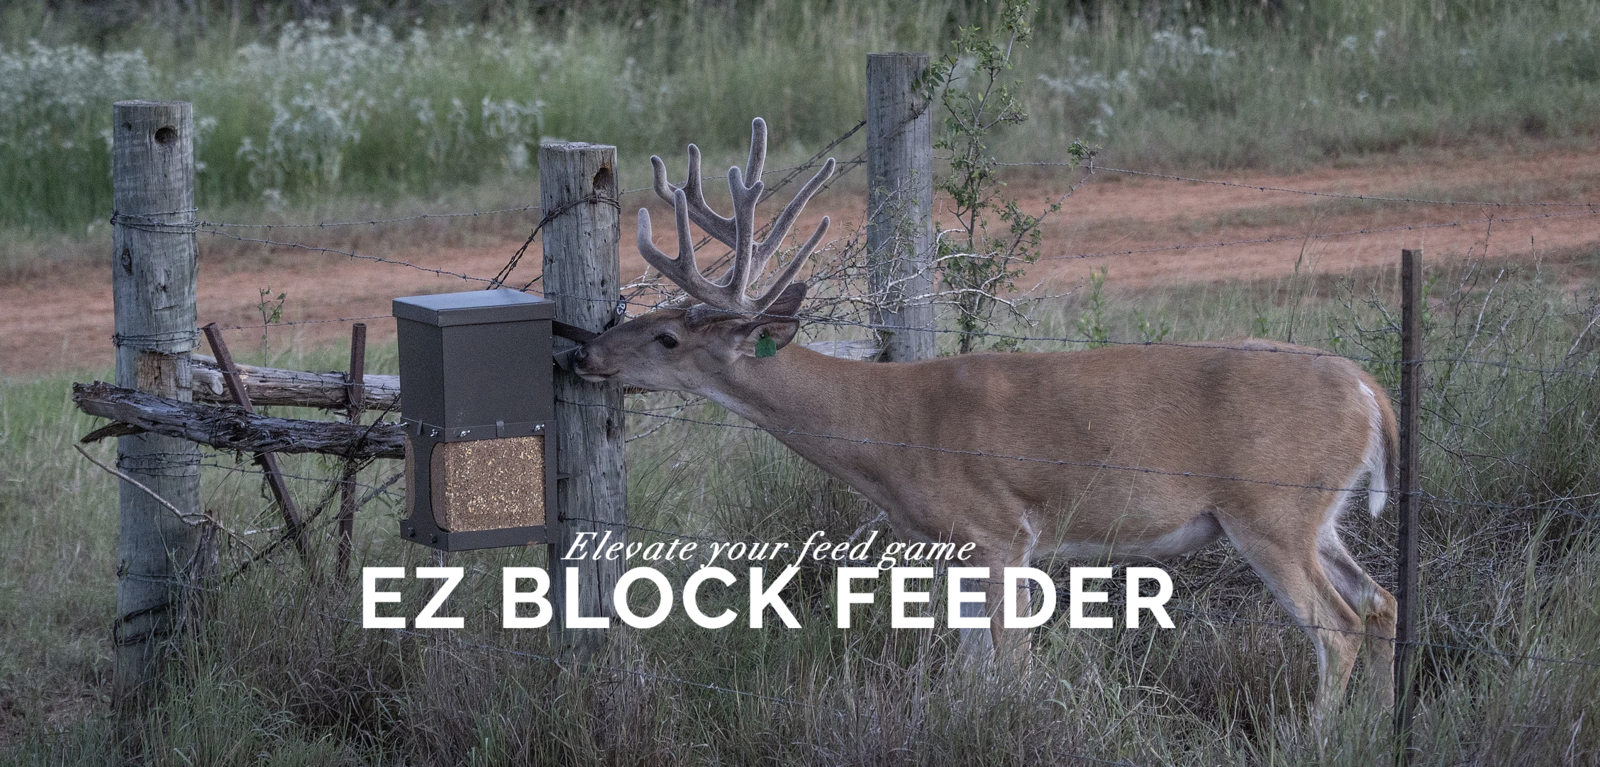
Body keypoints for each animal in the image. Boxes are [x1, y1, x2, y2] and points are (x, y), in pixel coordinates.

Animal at [572, 118, 1400, 721]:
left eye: (667, 337)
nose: (585, 352)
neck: (890, 426)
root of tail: (1369, 389)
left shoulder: (1000, 530)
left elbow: (1008, 669)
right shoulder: (961, 548)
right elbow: (972, 669)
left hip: (1270, 507)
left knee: (1339, 625)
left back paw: (1314, 736)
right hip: (1317, 516)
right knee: (1380, 602)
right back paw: (1372, 726)